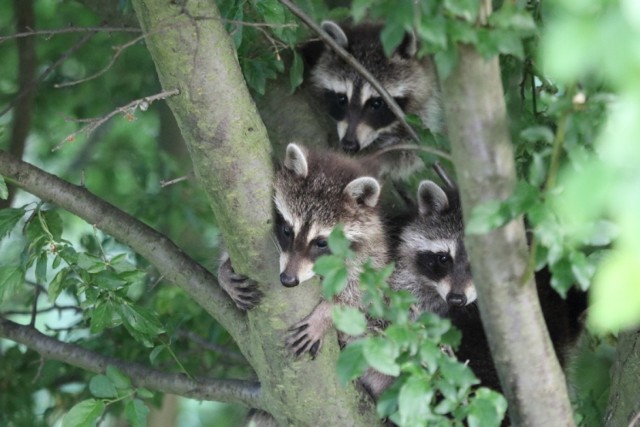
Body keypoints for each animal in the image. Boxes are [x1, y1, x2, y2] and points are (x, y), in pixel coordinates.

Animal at [274, 143, 388, 358]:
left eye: (321, 243)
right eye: (287, 231)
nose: (288, 280)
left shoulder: (370, 252)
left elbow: (361, 290)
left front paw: (325, 314)